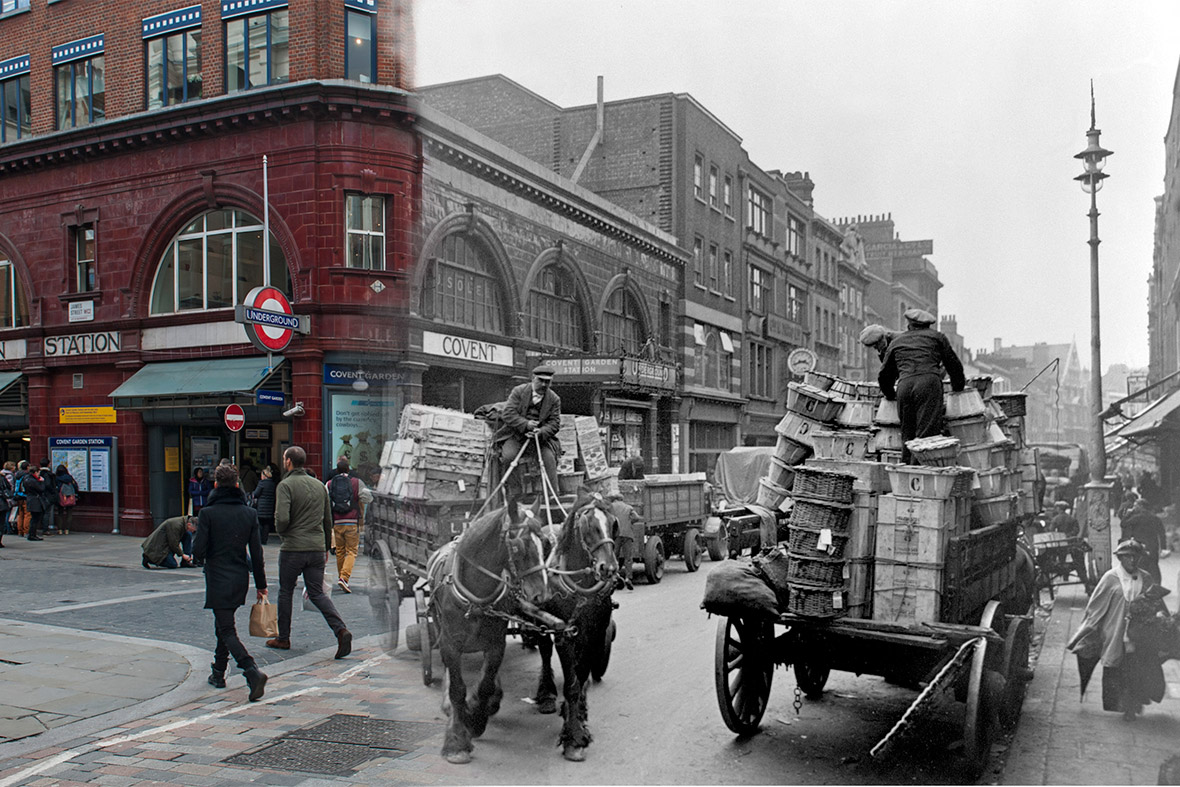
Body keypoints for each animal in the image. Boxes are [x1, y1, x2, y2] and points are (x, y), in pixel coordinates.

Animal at [427, 497, 549, 764]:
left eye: (546, 543)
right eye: (517, 547)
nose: (541, 596)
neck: (476, 597)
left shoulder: (495, 644)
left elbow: (485, 684)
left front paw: (476, 717)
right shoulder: (450, 644)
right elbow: (457, 689)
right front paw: (456, 740)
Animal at [535, 493, 623, 764]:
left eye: (613, 523)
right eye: (587, 525)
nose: (609, 568)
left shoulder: (594, 632)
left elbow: (581, 675)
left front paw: (579, 717)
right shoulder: (565, 634)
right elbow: (571, 685)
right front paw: (573, 739)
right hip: (541, 622)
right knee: (544, 651)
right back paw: (546, 695)